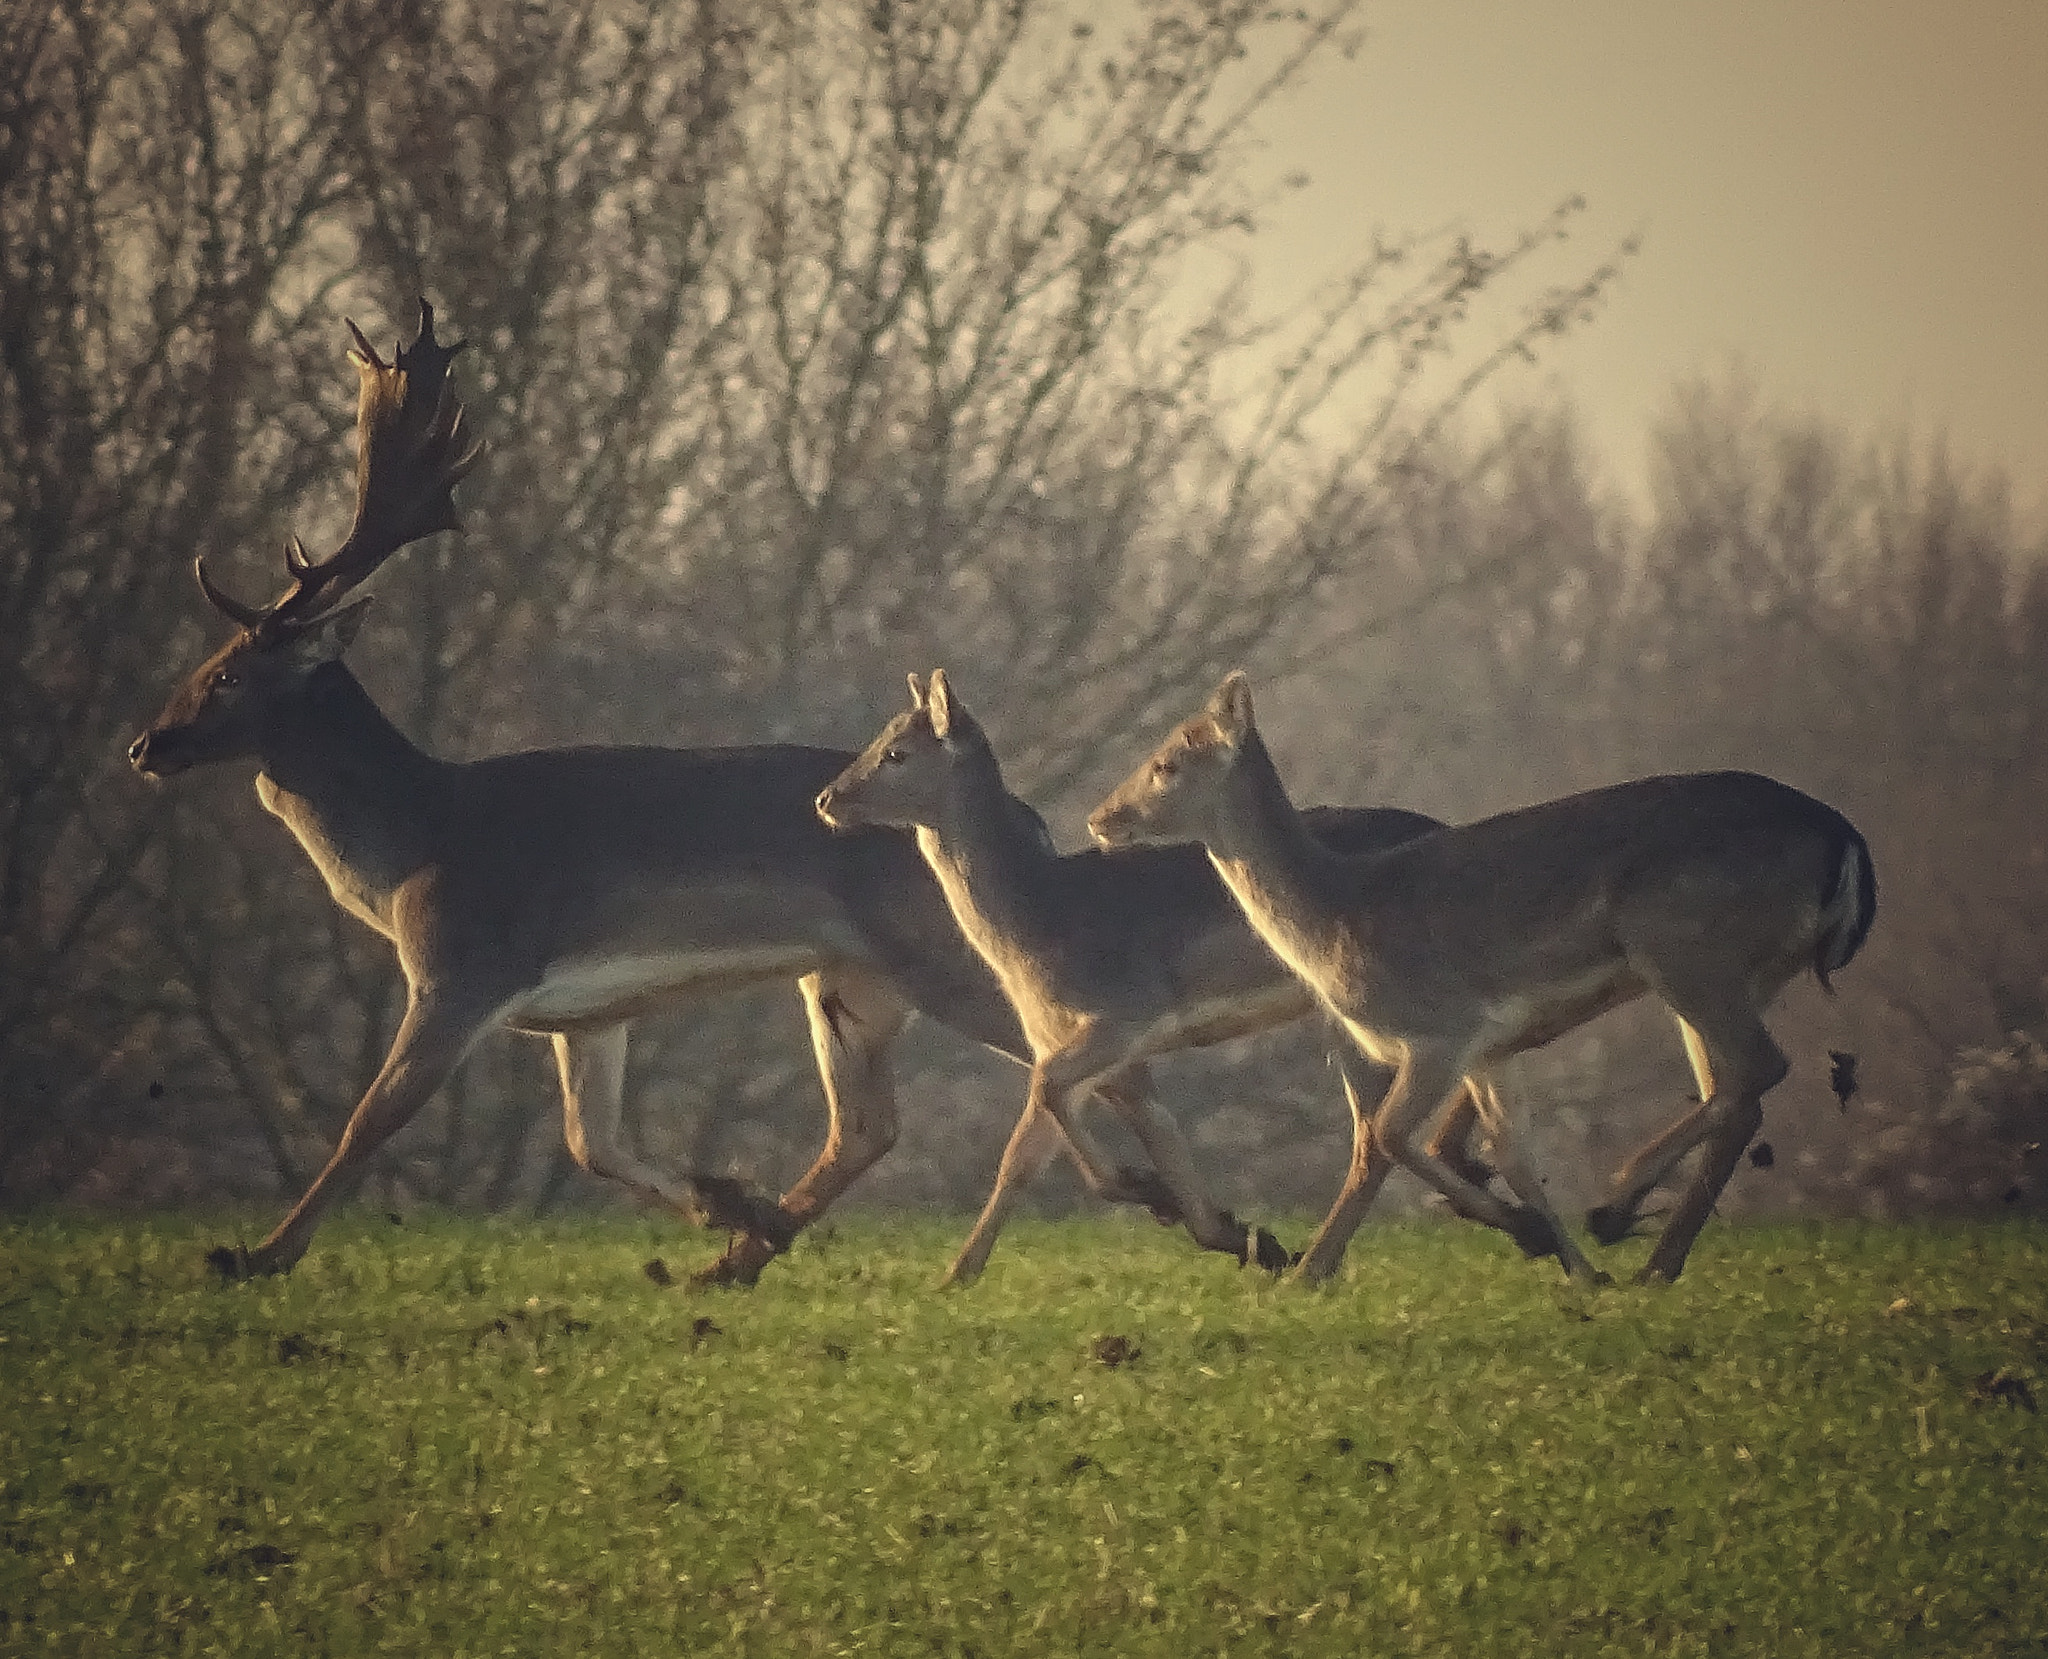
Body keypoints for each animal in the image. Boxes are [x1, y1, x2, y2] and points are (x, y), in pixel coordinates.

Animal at [136, 303, 1187, 1286]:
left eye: (229, 674)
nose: (148, 743)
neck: (411, 845)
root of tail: (1031, 820)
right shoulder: (588, 1013)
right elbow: (590, 1143)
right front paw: (729, 1201)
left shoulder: (462, 964)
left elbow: (371, 1119)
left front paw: (257, 1252)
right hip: (848, 976)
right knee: (871, 1125)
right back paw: (744, 1254)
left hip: (941, 954)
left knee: (1094, 1063)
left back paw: (1190, 1212)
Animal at [815, 667, 1490, 1278]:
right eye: (879, 737)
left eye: (898, 753)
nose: (826, 800)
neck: (1041, 918)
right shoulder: (1062, 1038)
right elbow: (1028, 1153)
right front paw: (955, 1277)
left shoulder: (1124, 1011)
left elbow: (1051, 1097)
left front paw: (1150, 1193)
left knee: (1377, 1132)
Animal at [1097, 667, 1875, 1278]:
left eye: (1166, 763)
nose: (1102, 817)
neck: (1338, 915)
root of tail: (1845, 839)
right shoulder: (1486, 1049)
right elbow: (1489, 1147)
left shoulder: (1443, 1028)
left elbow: (1385, 1136)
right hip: (1736, 972)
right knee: (1737, 1088)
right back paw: (1650, 1255)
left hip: (1688, 948)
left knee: (1756, 1069)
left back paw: (1620, 1208)